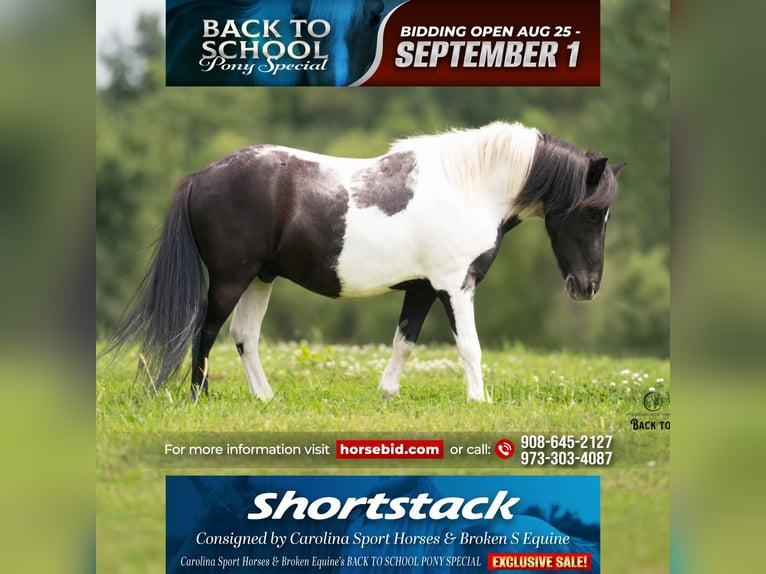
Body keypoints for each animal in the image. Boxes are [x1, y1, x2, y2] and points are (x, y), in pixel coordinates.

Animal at [103, 121, 624, 402]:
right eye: (592, 212)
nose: (588, 287)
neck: (470, 187)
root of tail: (201, 176)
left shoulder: (422, 289)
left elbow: (404, 343)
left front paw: (387, 394)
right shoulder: (455, 286)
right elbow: (470, 347)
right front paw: (480, 400)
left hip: (260, 279)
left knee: (243, 337)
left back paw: (266, 398)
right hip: (231, 279)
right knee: (205, 333)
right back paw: (200, 398)